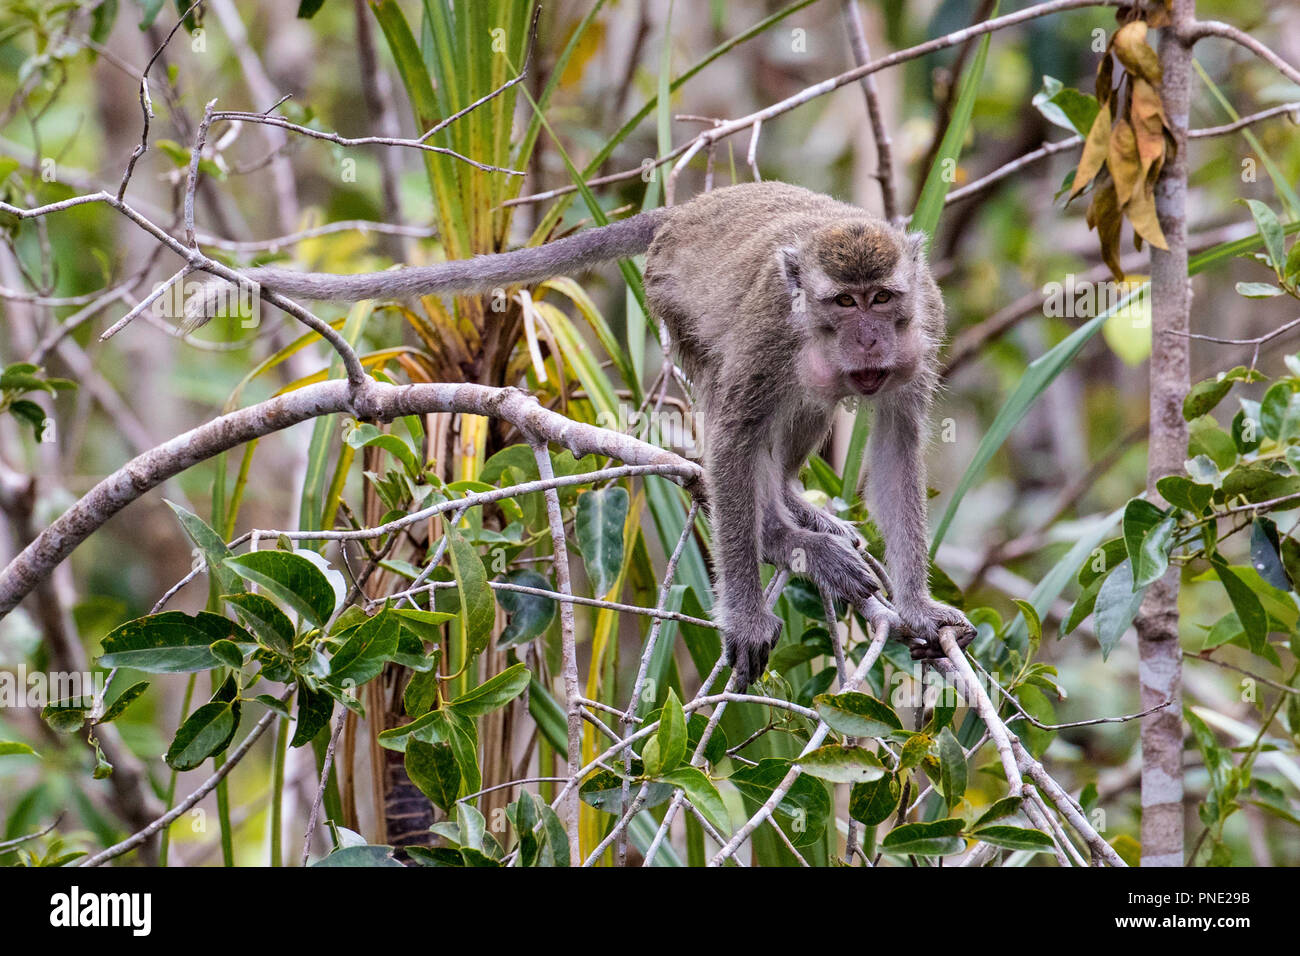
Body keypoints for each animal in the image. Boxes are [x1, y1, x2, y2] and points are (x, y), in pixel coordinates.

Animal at [186, 181, 975, 687]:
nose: (869, 340)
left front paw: (916, 608)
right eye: (844, 303)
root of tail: (684, 212)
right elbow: (731, 437)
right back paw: (785, 534)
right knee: (738, 416)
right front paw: (750, 611)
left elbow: (898, 442)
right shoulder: (771, 332)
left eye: (882, 298)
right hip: (671, 299)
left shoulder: (928, 318)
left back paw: (796, 511)